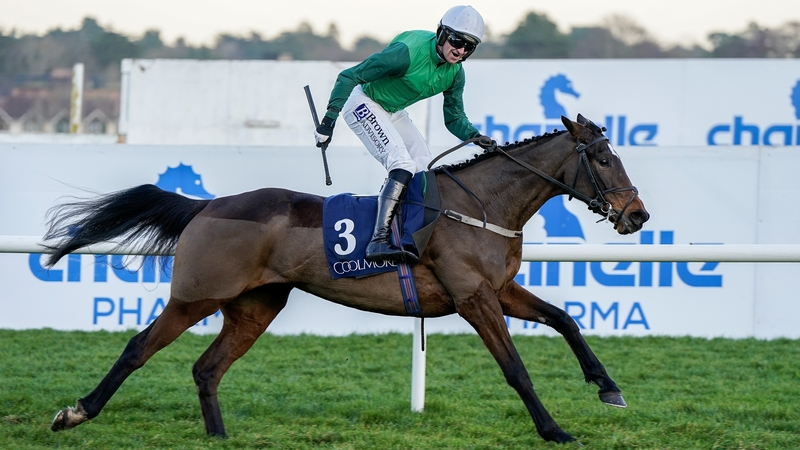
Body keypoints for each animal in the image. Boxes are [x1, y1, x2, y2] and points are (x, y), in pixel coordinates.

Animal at [44, 114, 649, 444]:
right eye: (603, 159)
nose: (637, 215)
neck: (482, 206)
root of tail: (208, 204)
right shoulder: (474, 297)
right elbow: (516, 370)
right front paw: (554, 429)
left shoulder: (500, 290)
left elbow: (565, 320)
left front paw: (608, 387)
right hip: (197, 295)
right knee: (138, 348)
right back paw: (76, 412)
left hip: (256, 306)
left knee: (206, 368)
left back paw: (218, 438)